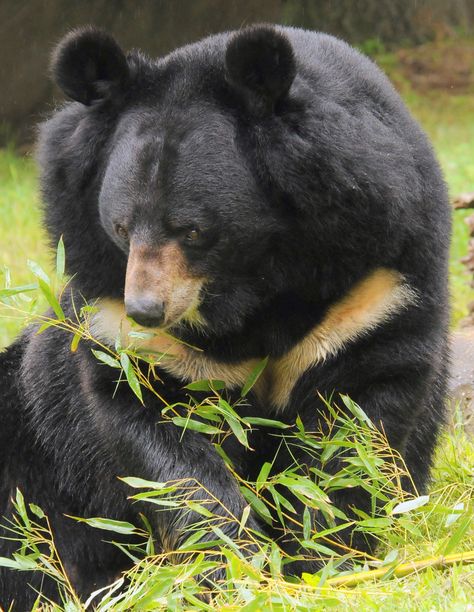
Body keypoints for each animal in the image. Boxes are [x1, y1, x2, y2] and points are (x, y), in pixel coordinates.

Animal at [0, 25, 452, 608]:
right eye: (121, 227)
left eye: (193, 230)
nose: (146, 310)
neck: (252, 282)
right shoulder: (116, 317)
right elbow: (159, 437)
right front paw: (233, 568)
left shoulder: (374, 285)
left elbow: (357, 424)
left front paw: (323, 557)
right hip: (32, 439)